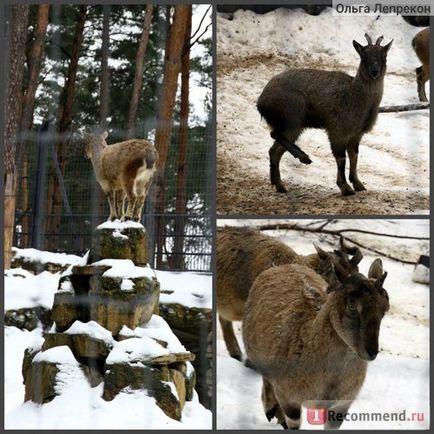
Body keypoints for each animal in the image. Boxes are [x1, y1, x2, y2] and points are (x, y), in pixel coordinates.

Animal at [244, 260, 390, 428]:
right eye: (352, 306)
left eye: (385, 308)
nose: (371, 351)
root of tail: (281, 266)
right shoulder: (289, 400)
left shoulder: (341, 405)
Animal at [258, 33, 394, 195]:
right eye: (364, 56)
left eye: (384, 55)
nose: (374, 72)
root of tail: (261, 103)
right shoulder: (337, 130)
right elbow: (341, 158)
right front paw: (345, 187)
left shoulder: (356, 134)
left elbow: (354, 156)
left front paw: (359, 184)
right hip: (293, 115)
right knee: (275, 135)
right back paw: (304, 157)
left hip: (295, 126)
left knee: (274, 150)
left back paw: (279, 185)